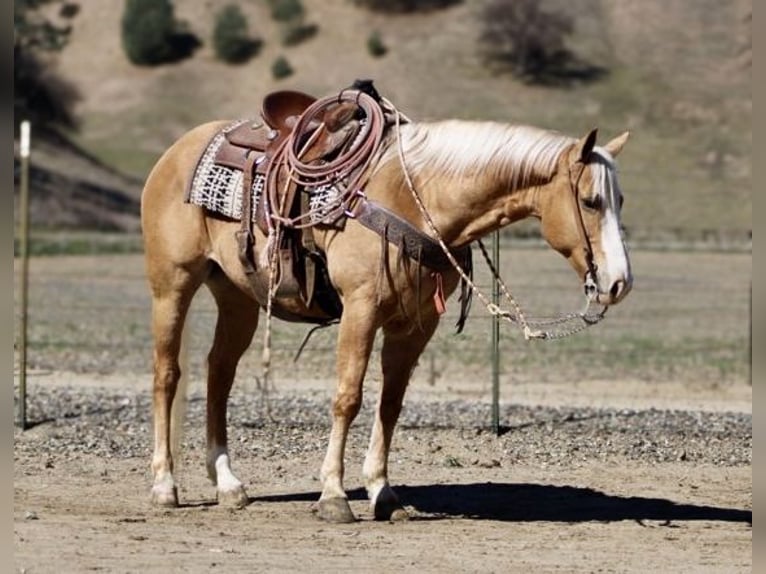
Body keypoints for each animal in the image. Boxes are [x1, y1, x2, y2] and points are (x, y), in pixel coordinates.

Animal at [141, 92, 633, 523]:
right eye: (590, 201)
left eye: (621, 200)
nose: (619, 283)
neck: (415, 198)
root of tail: (176, 151)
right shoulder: (361, 310)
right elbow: (348, 398)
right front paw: (334, 495)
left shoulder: (416, 324)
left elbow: (390, 404)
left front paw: (383, 492)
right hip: (172, 284)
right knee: (167, 374)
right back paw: (164, 486)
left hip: (237, 295)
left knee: (219, 373)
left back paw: (228, 484)